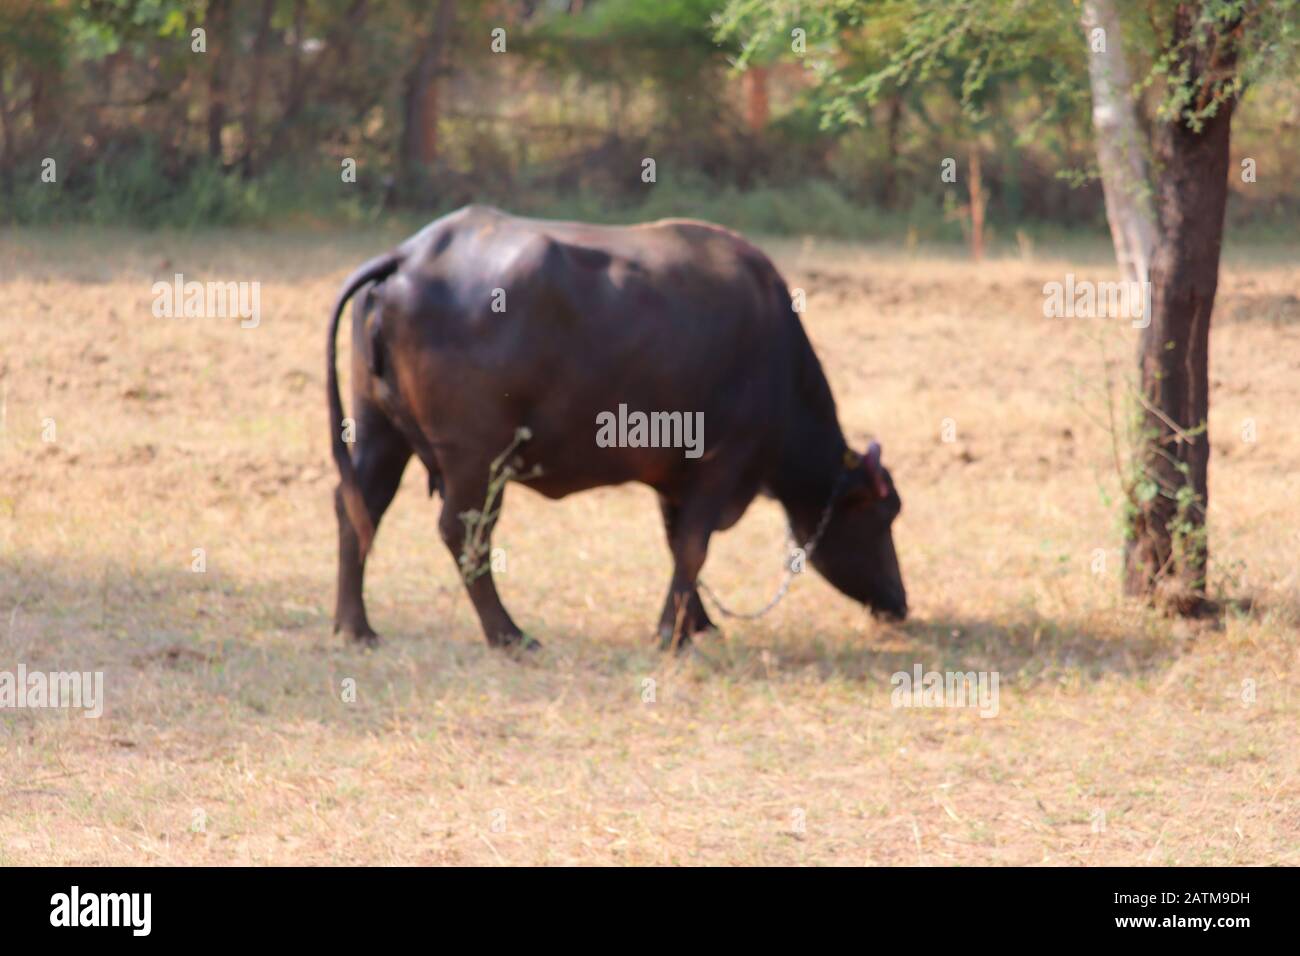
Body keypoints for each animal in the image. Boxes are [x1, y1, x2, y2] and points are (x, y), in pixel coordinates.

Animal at [330, 201, 909, 650]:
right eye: (883, 515)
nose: (900, 604)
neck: (777, 363)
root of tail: (408, 256)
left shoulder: (678, 476)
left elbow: (679, 544)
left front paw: (696, 622)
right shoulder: (723, 462)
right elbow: (693, 545)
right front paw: (671, 634)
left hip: (379, 431)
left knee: (358, 507)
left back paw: (356, 627)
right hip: (477, 456)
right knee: (462, 533)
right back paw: (508, 635)